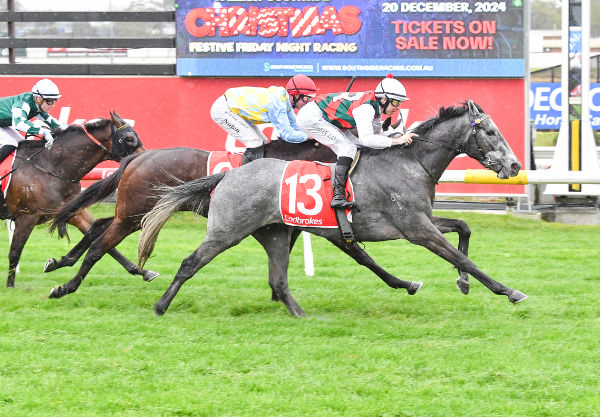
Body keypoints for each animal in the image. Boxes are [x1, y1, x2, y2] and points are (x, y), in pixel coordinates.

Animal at [2, 110, 146, 286]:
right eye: (130, 139)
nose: (144, 158)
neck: (50, 166)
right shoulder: (27, 216)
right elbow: (14, 252)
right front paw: (10, 286)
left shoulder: (72, 211)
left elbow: (100, 238)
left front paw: (141, 271)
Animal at [45, 141, 338, 298]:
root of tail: (140, 156)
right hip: (132, 215)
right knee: (98, 247)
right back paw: (66, 286)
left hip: (136, 214)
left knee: (97, 226)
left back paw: (60, 261)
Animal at [139, 100, 524, 316]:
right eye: (490, 132)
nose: (516, 165)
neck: (410, 162)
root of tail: (228, 174)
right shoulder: (416, 229)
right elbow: (461, 257)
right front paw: (508, 290)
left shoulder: (422, 220)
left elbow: (463, 227)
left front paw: (463, 283)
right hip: (227, 230)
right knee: (190, 262)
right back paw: (160, 305)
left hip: (275, 232)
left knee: (279, 276)